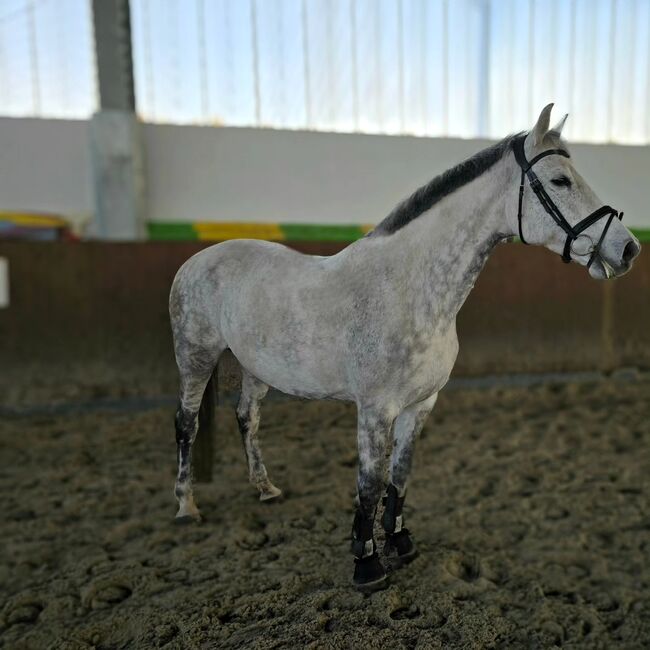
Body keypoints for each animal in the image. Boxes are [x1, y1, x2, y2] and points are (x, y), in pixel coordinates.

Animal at [168, 105, 636, 588]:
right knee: (186, 424)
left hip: (255, 369)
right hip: (195, 357)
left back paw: (265, 490)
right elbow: (370, 483)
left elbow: (400, 475)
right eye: (560, 181)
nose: (628, 249)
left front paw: (400, 542)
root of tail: (198, 259)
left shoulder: (421, 404)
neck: (412, 290)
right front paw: (367, 564)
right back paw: (186, 506)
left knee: (248, 419)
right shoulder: (376, 410)